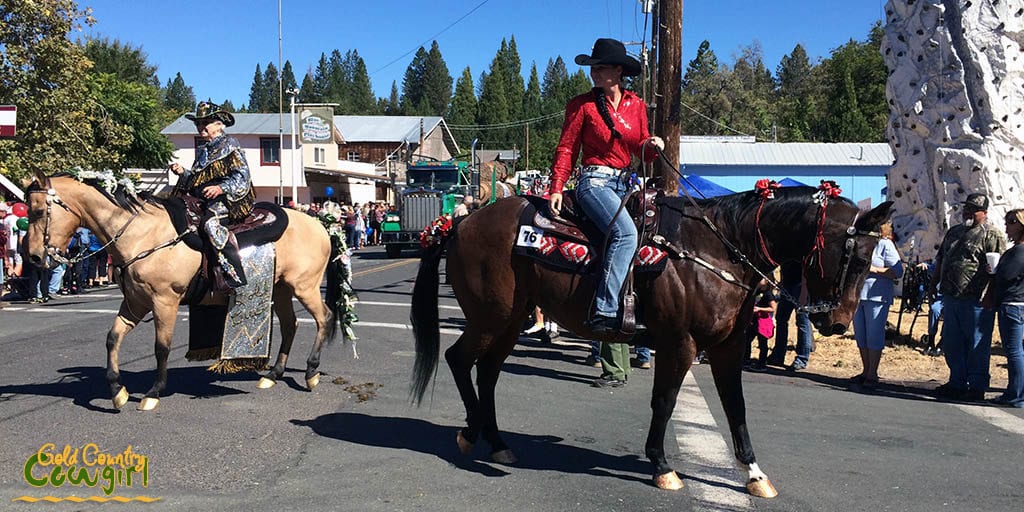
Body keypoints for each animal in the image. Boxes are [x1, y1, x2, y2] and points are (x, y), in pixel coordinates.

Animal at [24, 173, 339, 411]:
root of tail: (320, 225)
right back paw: (273, 374)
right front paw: (117, 390)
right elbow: (113, 338)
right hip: (282, 289)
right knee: (290, 325)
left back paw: (311, 373)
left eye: (37, 211)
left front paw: (153, 392)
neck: (141, 235)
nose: (34, 257)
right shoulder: (135, 303)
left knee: (323, 318)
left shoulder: (165, 301)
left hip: (305, 286)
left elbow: (161, 347)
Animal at [407, 183, 888, 495]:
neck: (718, 251)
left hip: (509, 320)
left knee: (487, 373)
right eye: (855, 256)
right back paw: (471, 433)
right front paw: (661, 465)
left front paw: (753, 473)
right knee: (458, 360)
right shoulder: (680, 343)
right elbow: (665, 401)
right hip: (490, 318)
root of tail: (461, 222)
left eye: (873, 259)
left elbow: (735, 407)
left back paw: (498, 443)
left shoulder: (727, 348)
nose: (838, 322)